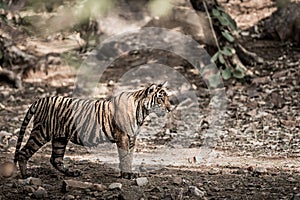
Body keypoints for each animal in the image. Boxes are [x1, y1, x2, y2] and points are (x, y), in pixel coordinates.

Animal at [14, 82, 172, 179]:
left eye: (167, 98)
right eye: (160, 98)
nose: (170, 108)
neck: (142, 111)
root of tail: (41, 99)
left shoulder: (132, 137)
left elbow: (130, 156)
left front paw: (128, 173)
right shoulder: (123, 136)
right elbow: (124, 156)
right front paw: (127, 174)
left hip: (60, 137)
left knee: (55, 159)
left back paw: (73, 173)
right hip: (41, 132)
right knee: (23, 152)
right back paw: (26, 176)